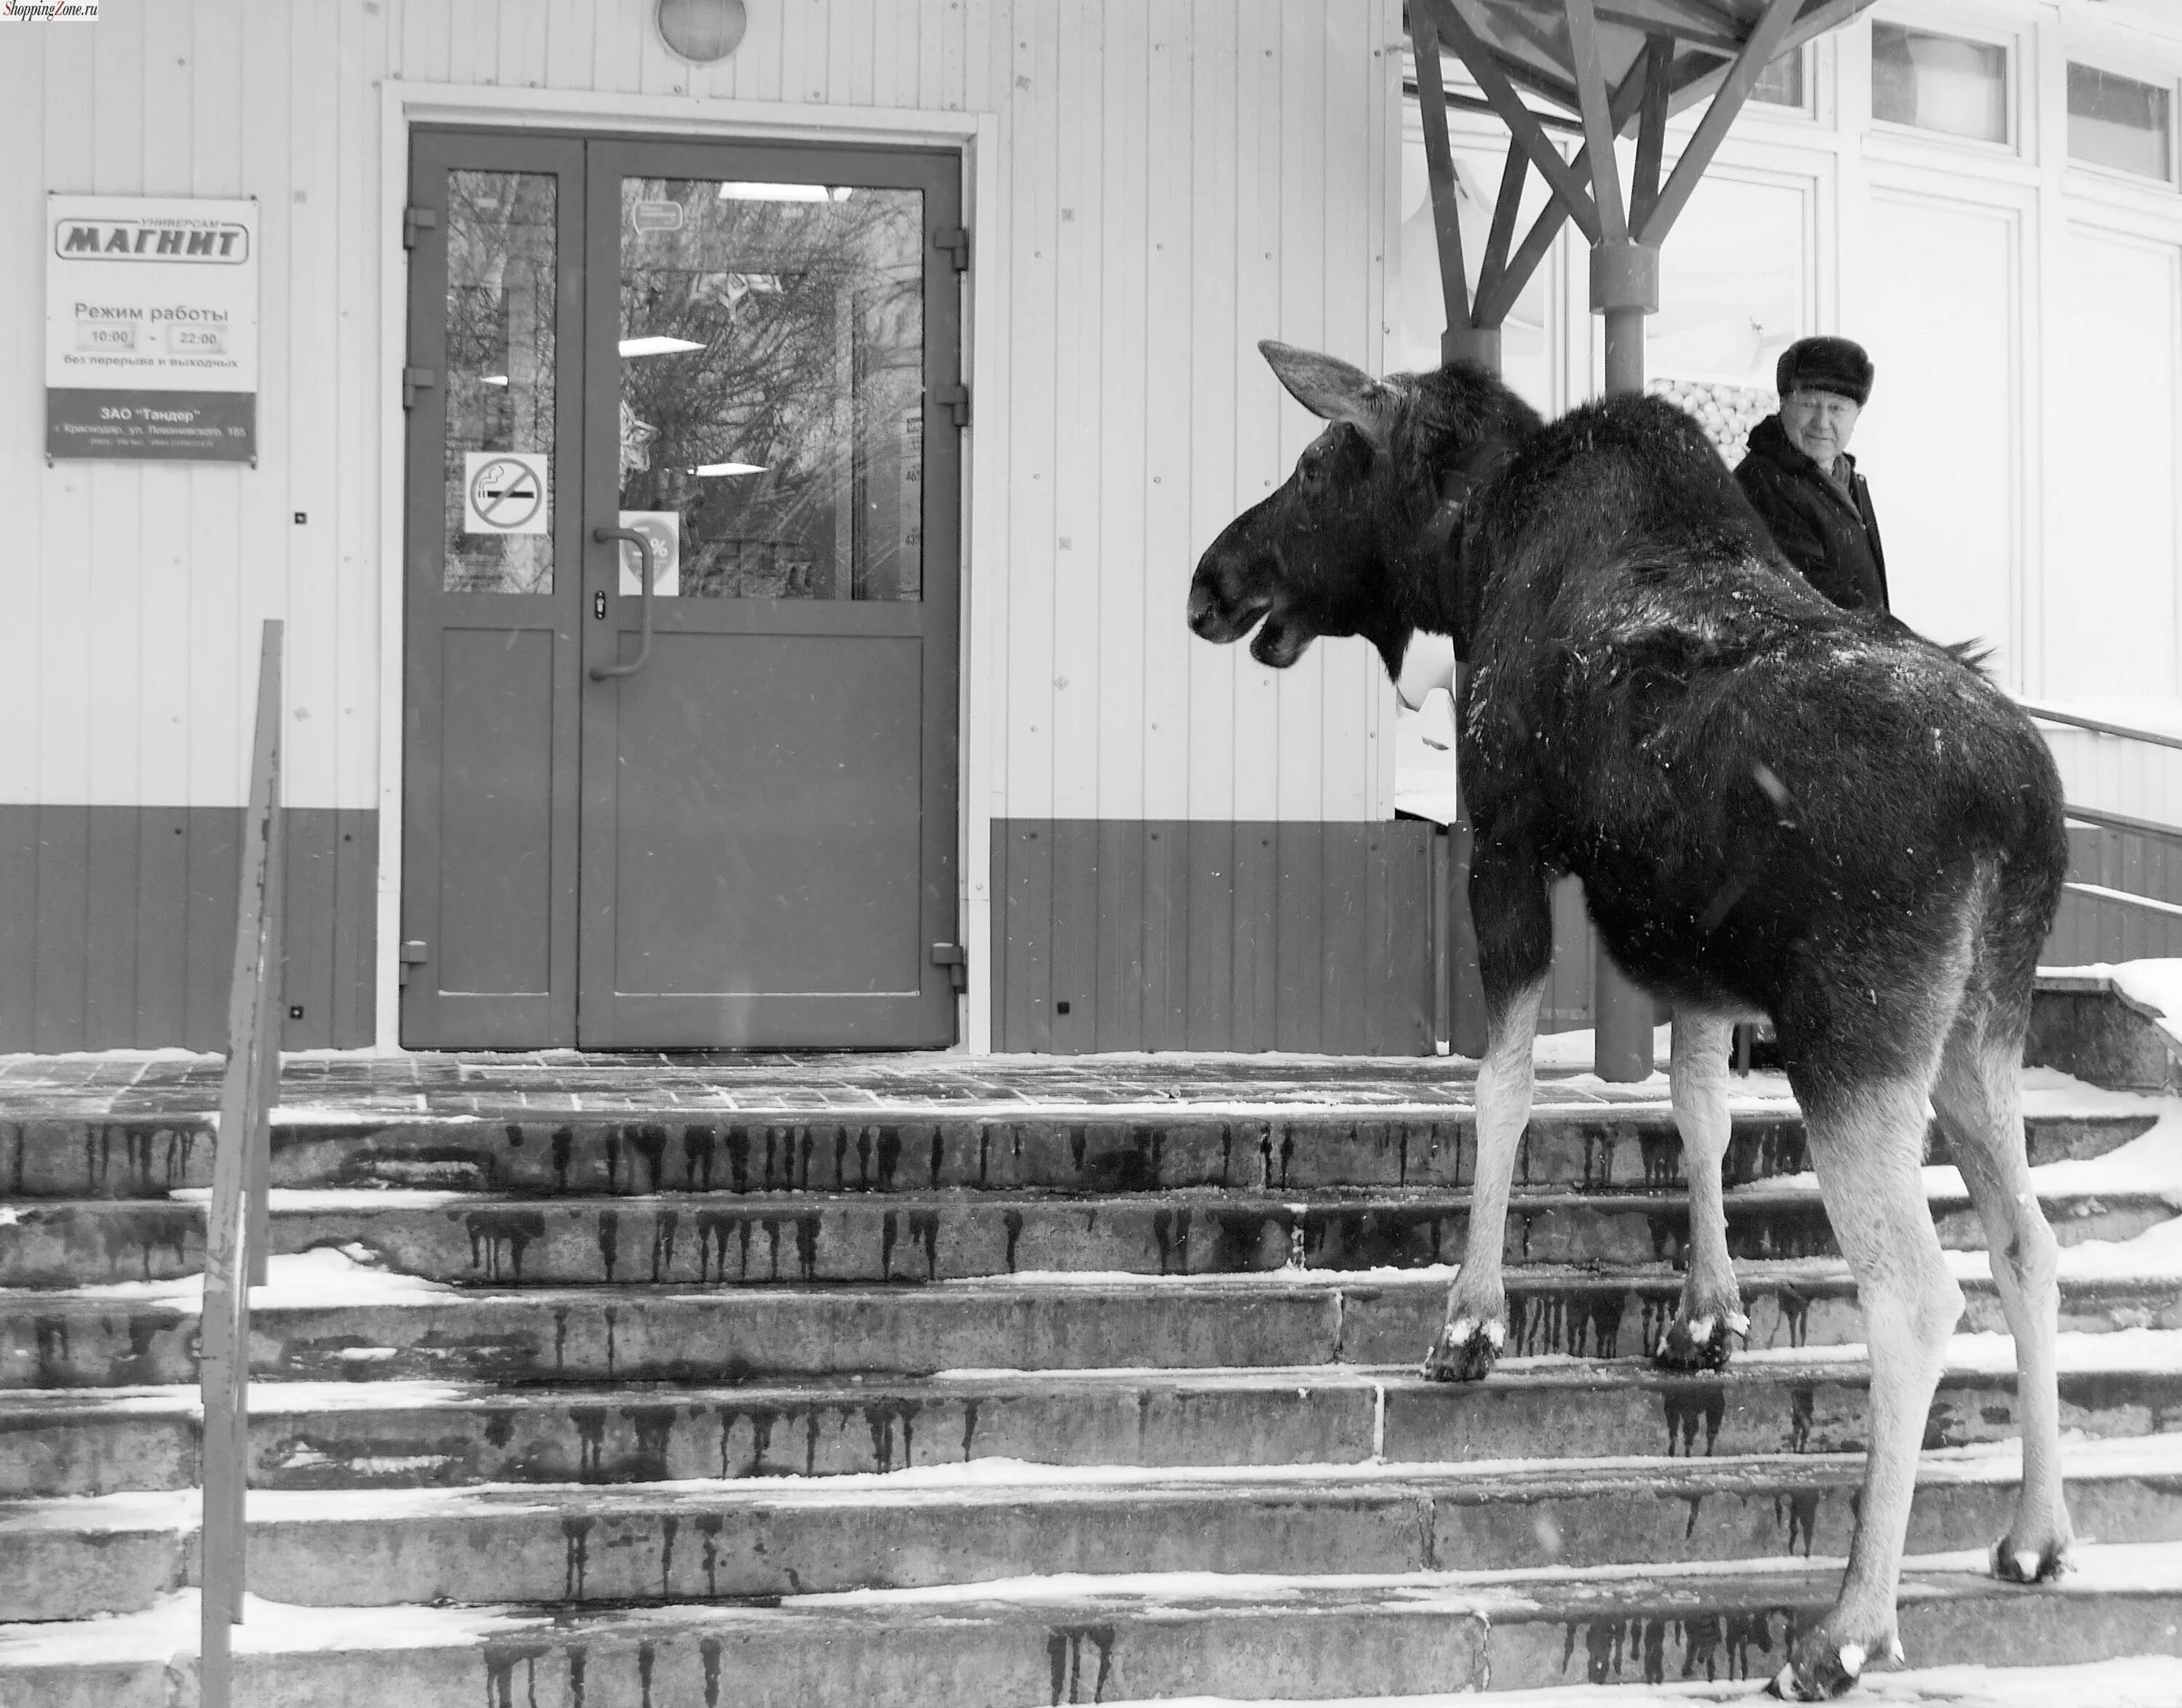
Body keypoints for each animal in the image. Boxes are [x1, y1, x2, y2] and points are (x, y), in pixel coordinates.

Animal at [1187, 340, 2069, 1701]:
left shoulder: (1503, 842)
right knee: (2031, 1245)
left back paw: (1847, 1627)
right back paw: (2036, 1534)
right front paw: (1705, 1316)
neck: (1474, 554)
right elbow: (1697, 1112)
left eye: (1320, 461)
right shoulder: (1691, 950)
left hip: (1859, 1034)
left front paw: (1471, 1320)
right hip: (1983, 1027)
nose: (1211, 580)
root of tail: (2024, 814)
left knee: (1921, 1294)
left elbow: (1501, 1089)